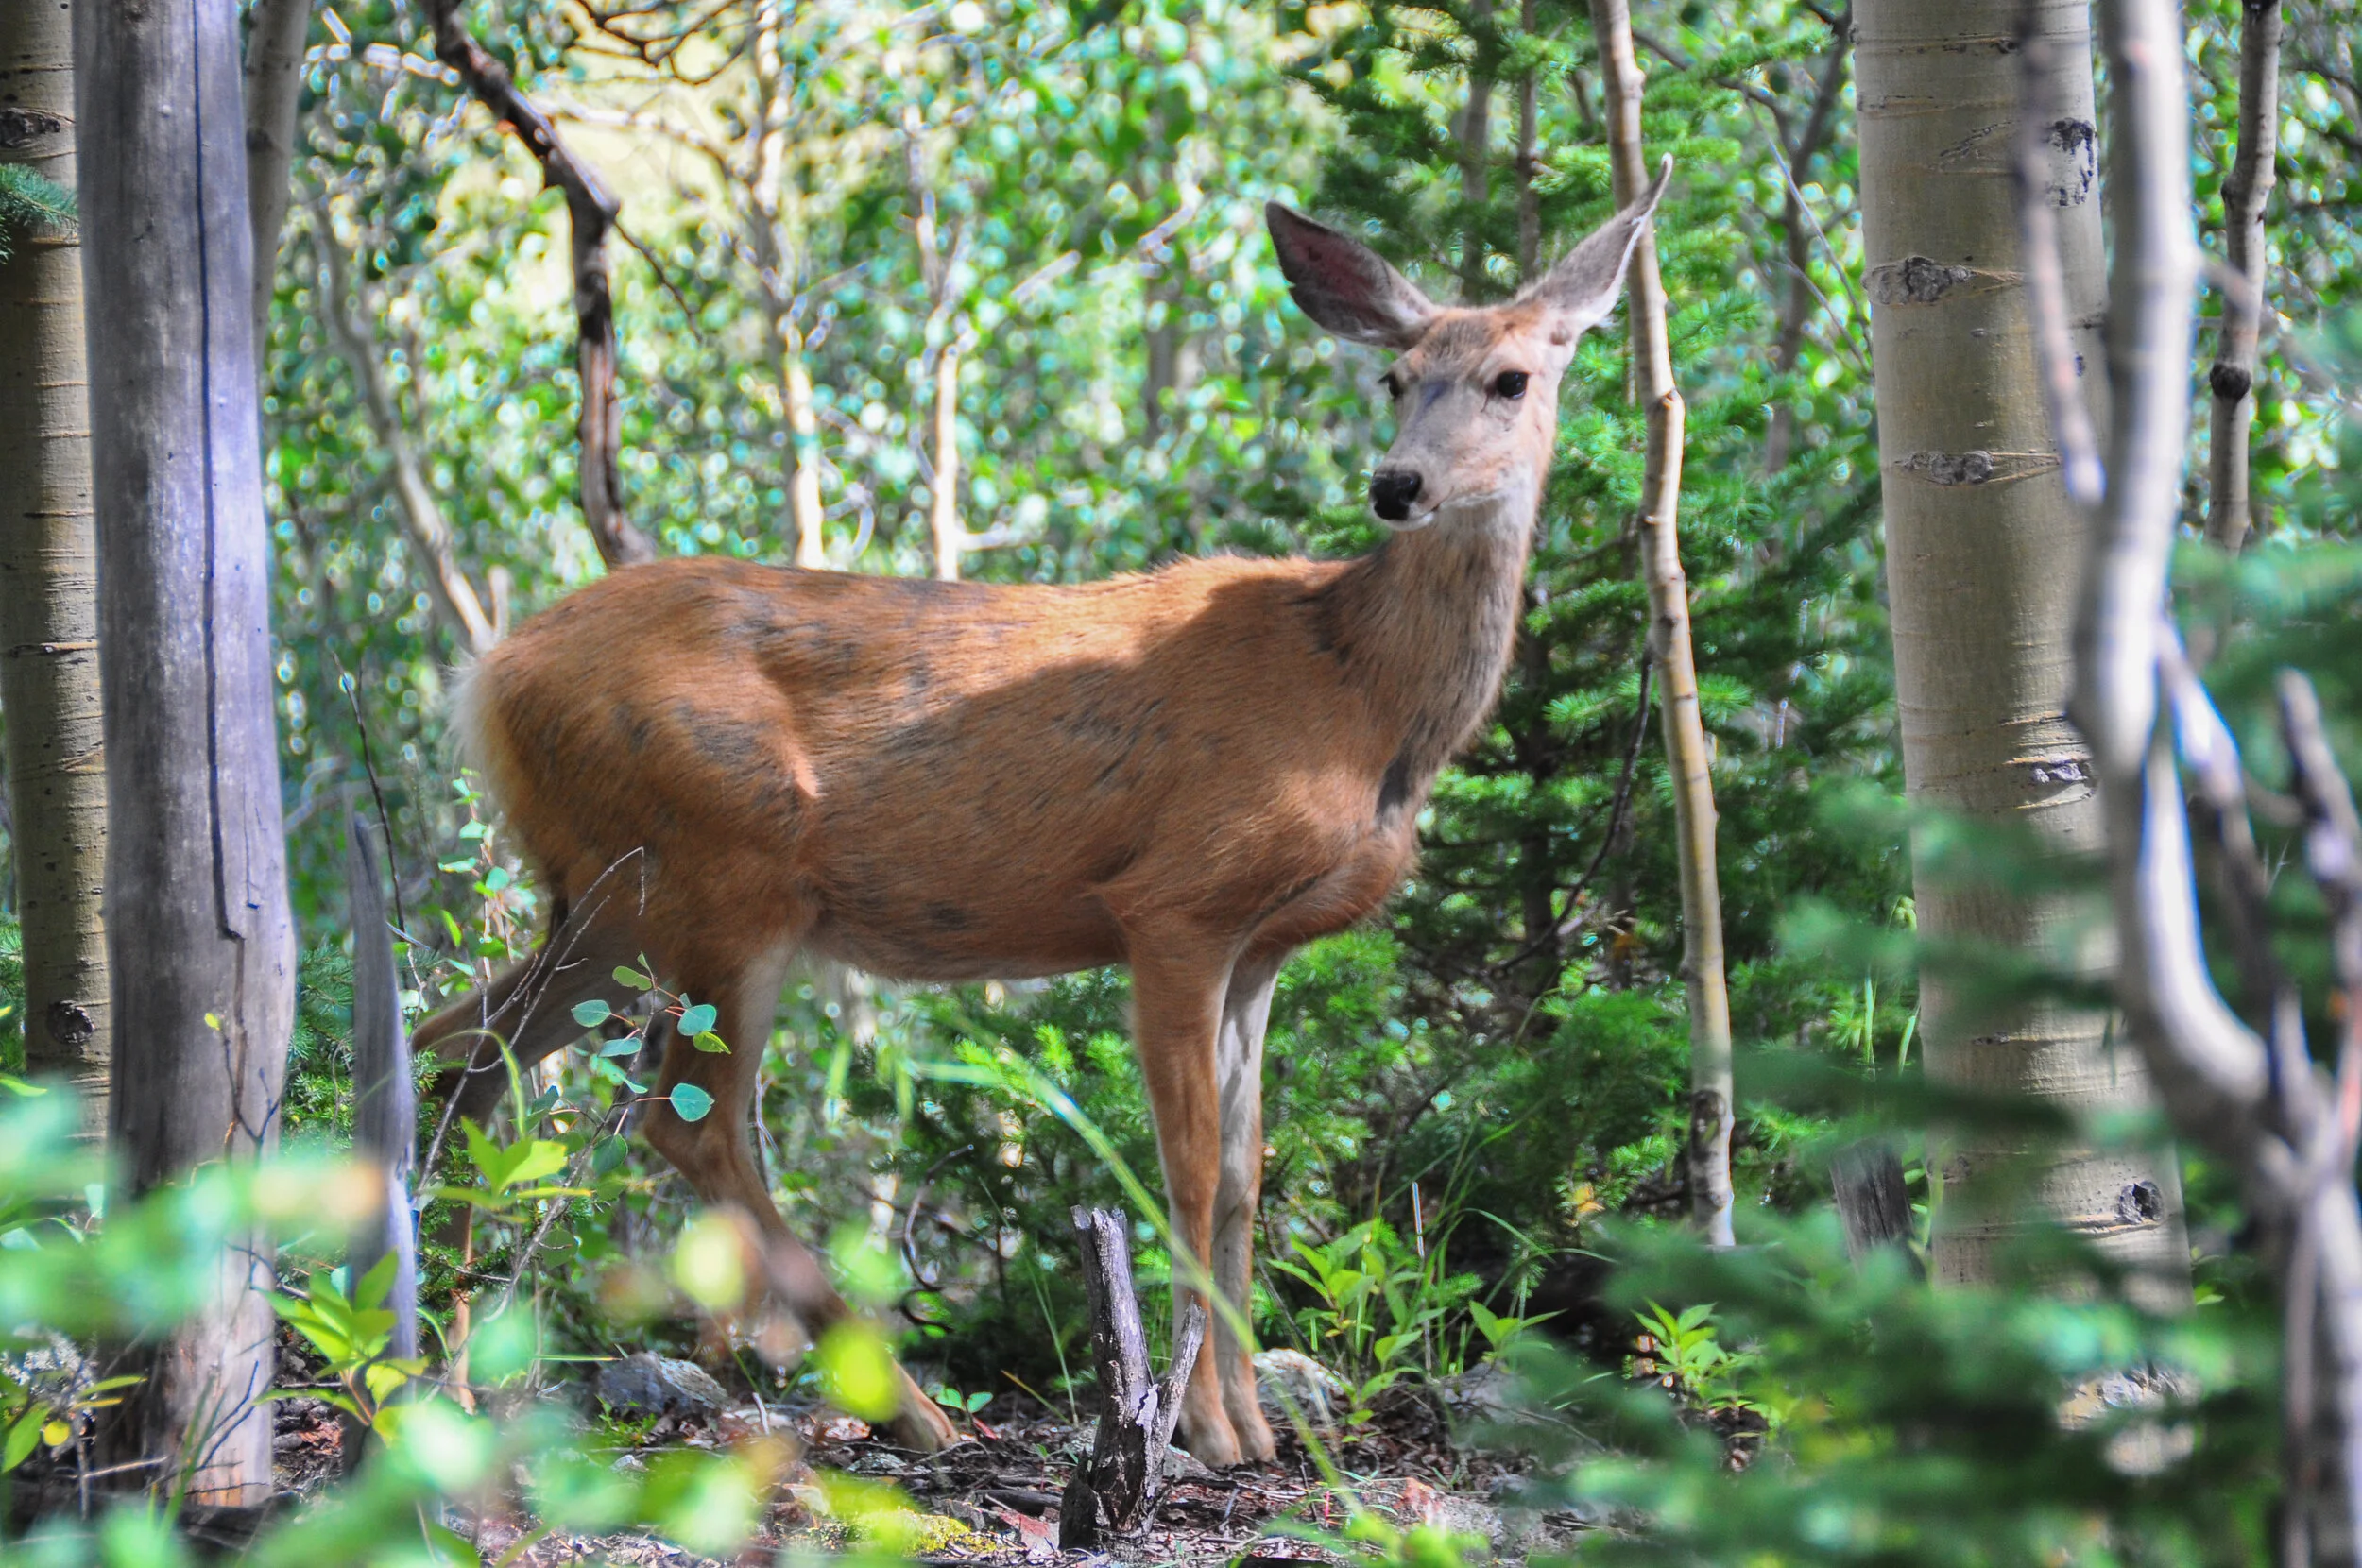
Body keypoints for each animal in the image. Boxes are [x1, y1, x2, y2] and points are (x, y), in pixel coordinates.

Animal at [412, 163, 1671, 1466]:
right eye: (1394, 377)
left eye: (1511, 377)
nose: (1397, 484)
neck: (1360, 696)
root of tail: (486, 676)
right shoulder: (1175, 902)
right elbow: (1187, 1165)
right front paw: (1203, 1427)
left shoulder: (1262, 944)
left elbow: (1248, 1172)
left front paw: (1257, 1426)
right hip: (726, 869)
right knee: (688, 1123)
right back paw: (910, 1410)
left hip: (609, 895)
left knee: (460, 1047)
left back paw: (441, 1376)